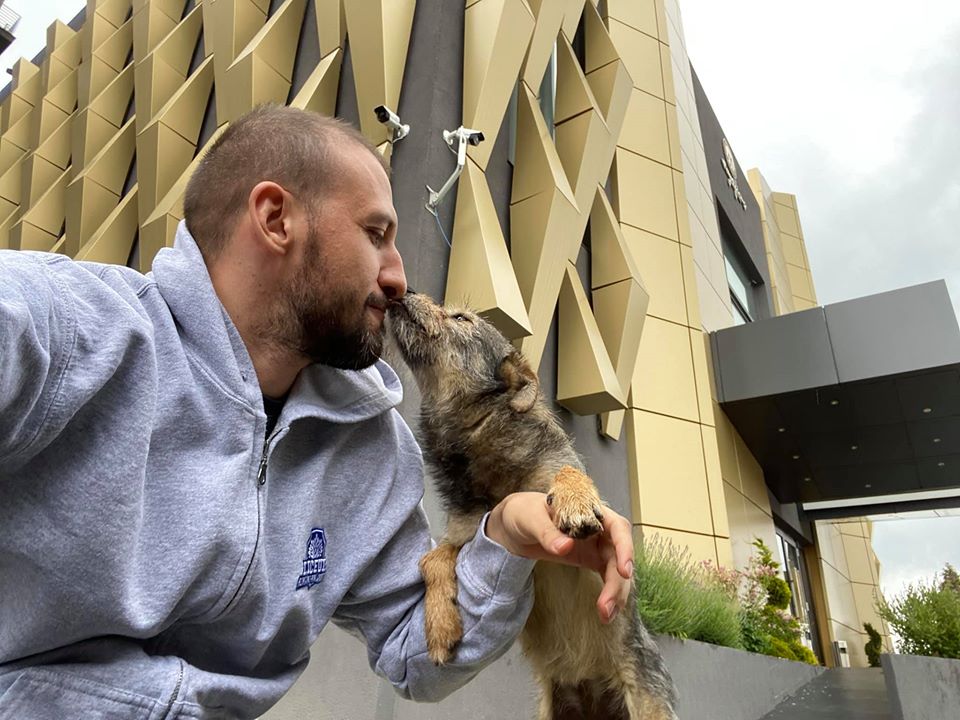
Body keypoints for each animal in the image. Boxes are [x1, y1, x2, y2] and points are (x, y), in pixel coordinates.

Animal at [387, 292, 678, 720]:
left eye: (461, 318)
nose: (403, 292)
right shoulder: (468, 532)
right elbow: (432, 560)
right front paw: (440, 626)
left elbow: (568, 473)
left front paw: (575, 502)